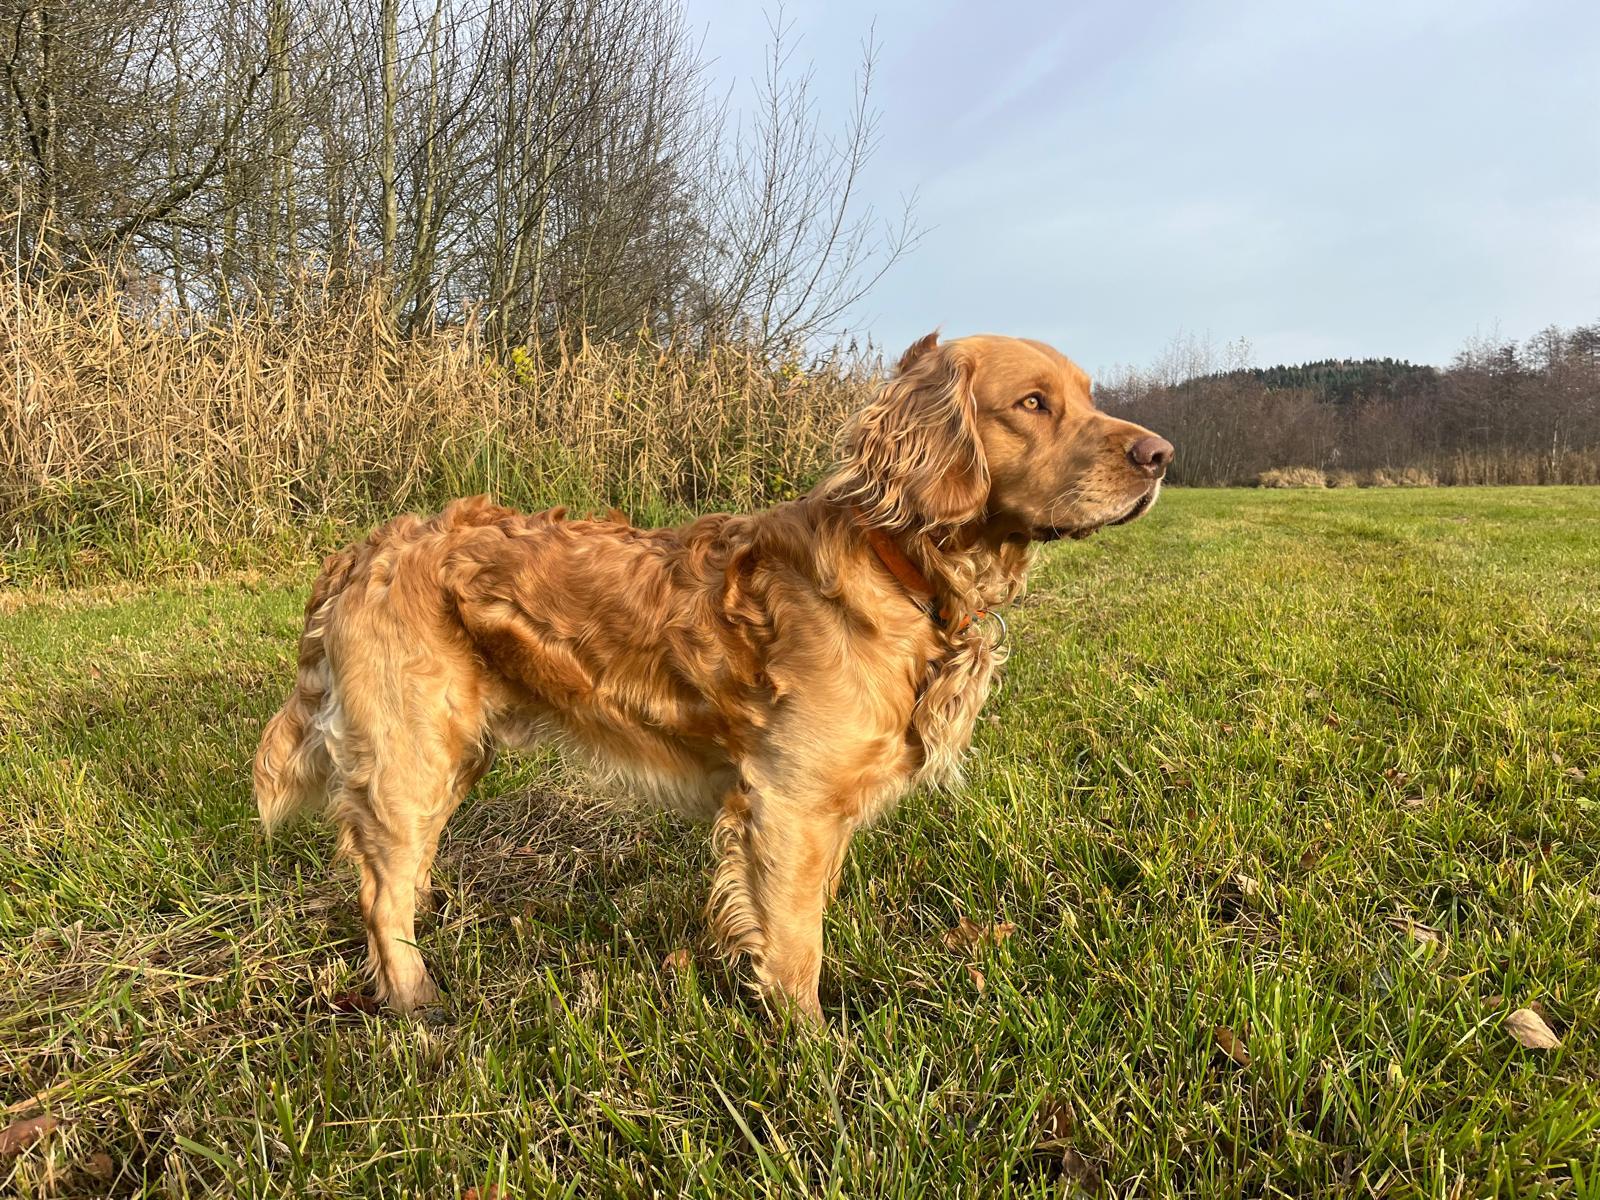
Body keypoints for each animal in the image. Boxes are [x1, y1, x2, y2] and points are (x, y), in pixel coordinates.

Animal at [253, 332, 1173, 1019]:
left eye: (1087, 396)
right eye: (1033, 404)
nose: (1162, 455)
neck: (903, 568)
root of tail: (366, 548)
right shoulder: (789, 803)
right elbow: (797, 946)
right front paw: (810, 1052)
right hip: (409, 757)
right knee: (381, 897)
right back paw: (419, 1007)